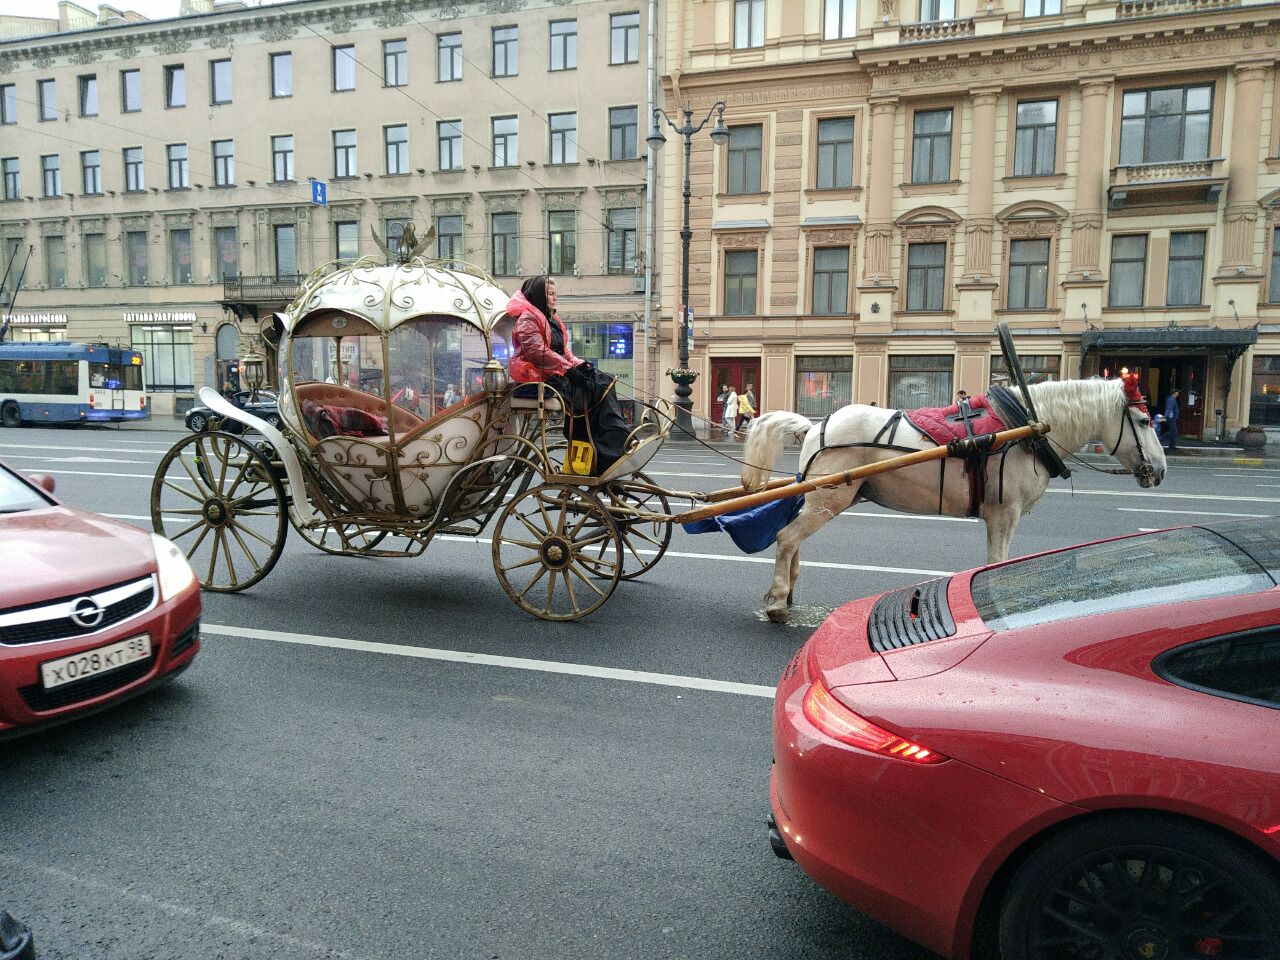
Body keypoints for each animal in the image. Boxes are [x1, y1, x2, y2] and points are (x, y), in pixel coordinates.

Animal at [741, 377, 1168, 623]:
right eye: (1144, 421)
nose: (1160, 471)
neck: (1023, 428)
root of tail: (815, 426)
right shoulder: (1003, 515)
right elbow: (996, 561)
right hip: (829, 498)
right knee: (786, 538)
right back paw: (777, 602)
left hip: (819, 498)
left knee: (793, 540)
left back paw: (789, 594)